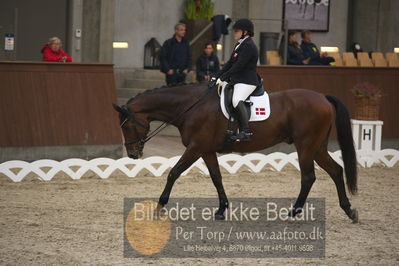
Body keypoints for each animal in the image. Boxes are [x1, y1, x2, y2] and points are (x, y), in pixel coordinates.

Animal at [112, 83, 360, 222]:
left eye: (127, 125)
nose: (132, 154)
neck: (191, 105)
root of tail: (323, 97)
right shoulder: (206, 150)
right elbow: (216, 177)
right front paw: (222, 210)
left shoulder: (195, 147)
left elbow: (174, 172)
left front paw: (159, 207)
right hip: (317, 146)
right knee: (336, 171)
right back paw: (349, 210)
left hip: (306, 145)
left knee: (308, 177)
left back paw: (293, 213)